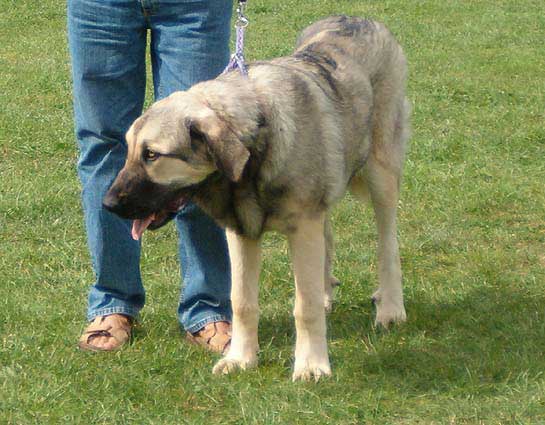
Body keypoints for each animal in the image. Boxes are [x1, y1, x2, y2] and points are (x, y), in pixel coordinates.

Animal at [103, 16, 408, 380]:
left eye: (152, 155)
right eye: (130, 150)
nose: (108, 204)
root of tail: (360, 19)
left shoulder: (303, 226)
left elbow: (303, 307)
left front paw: (311, 365)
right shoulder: (242, 233)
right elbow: (242, 301)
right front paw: (241, 358)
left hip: (381, 175)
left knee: (387, 246)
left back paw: (390, 308)